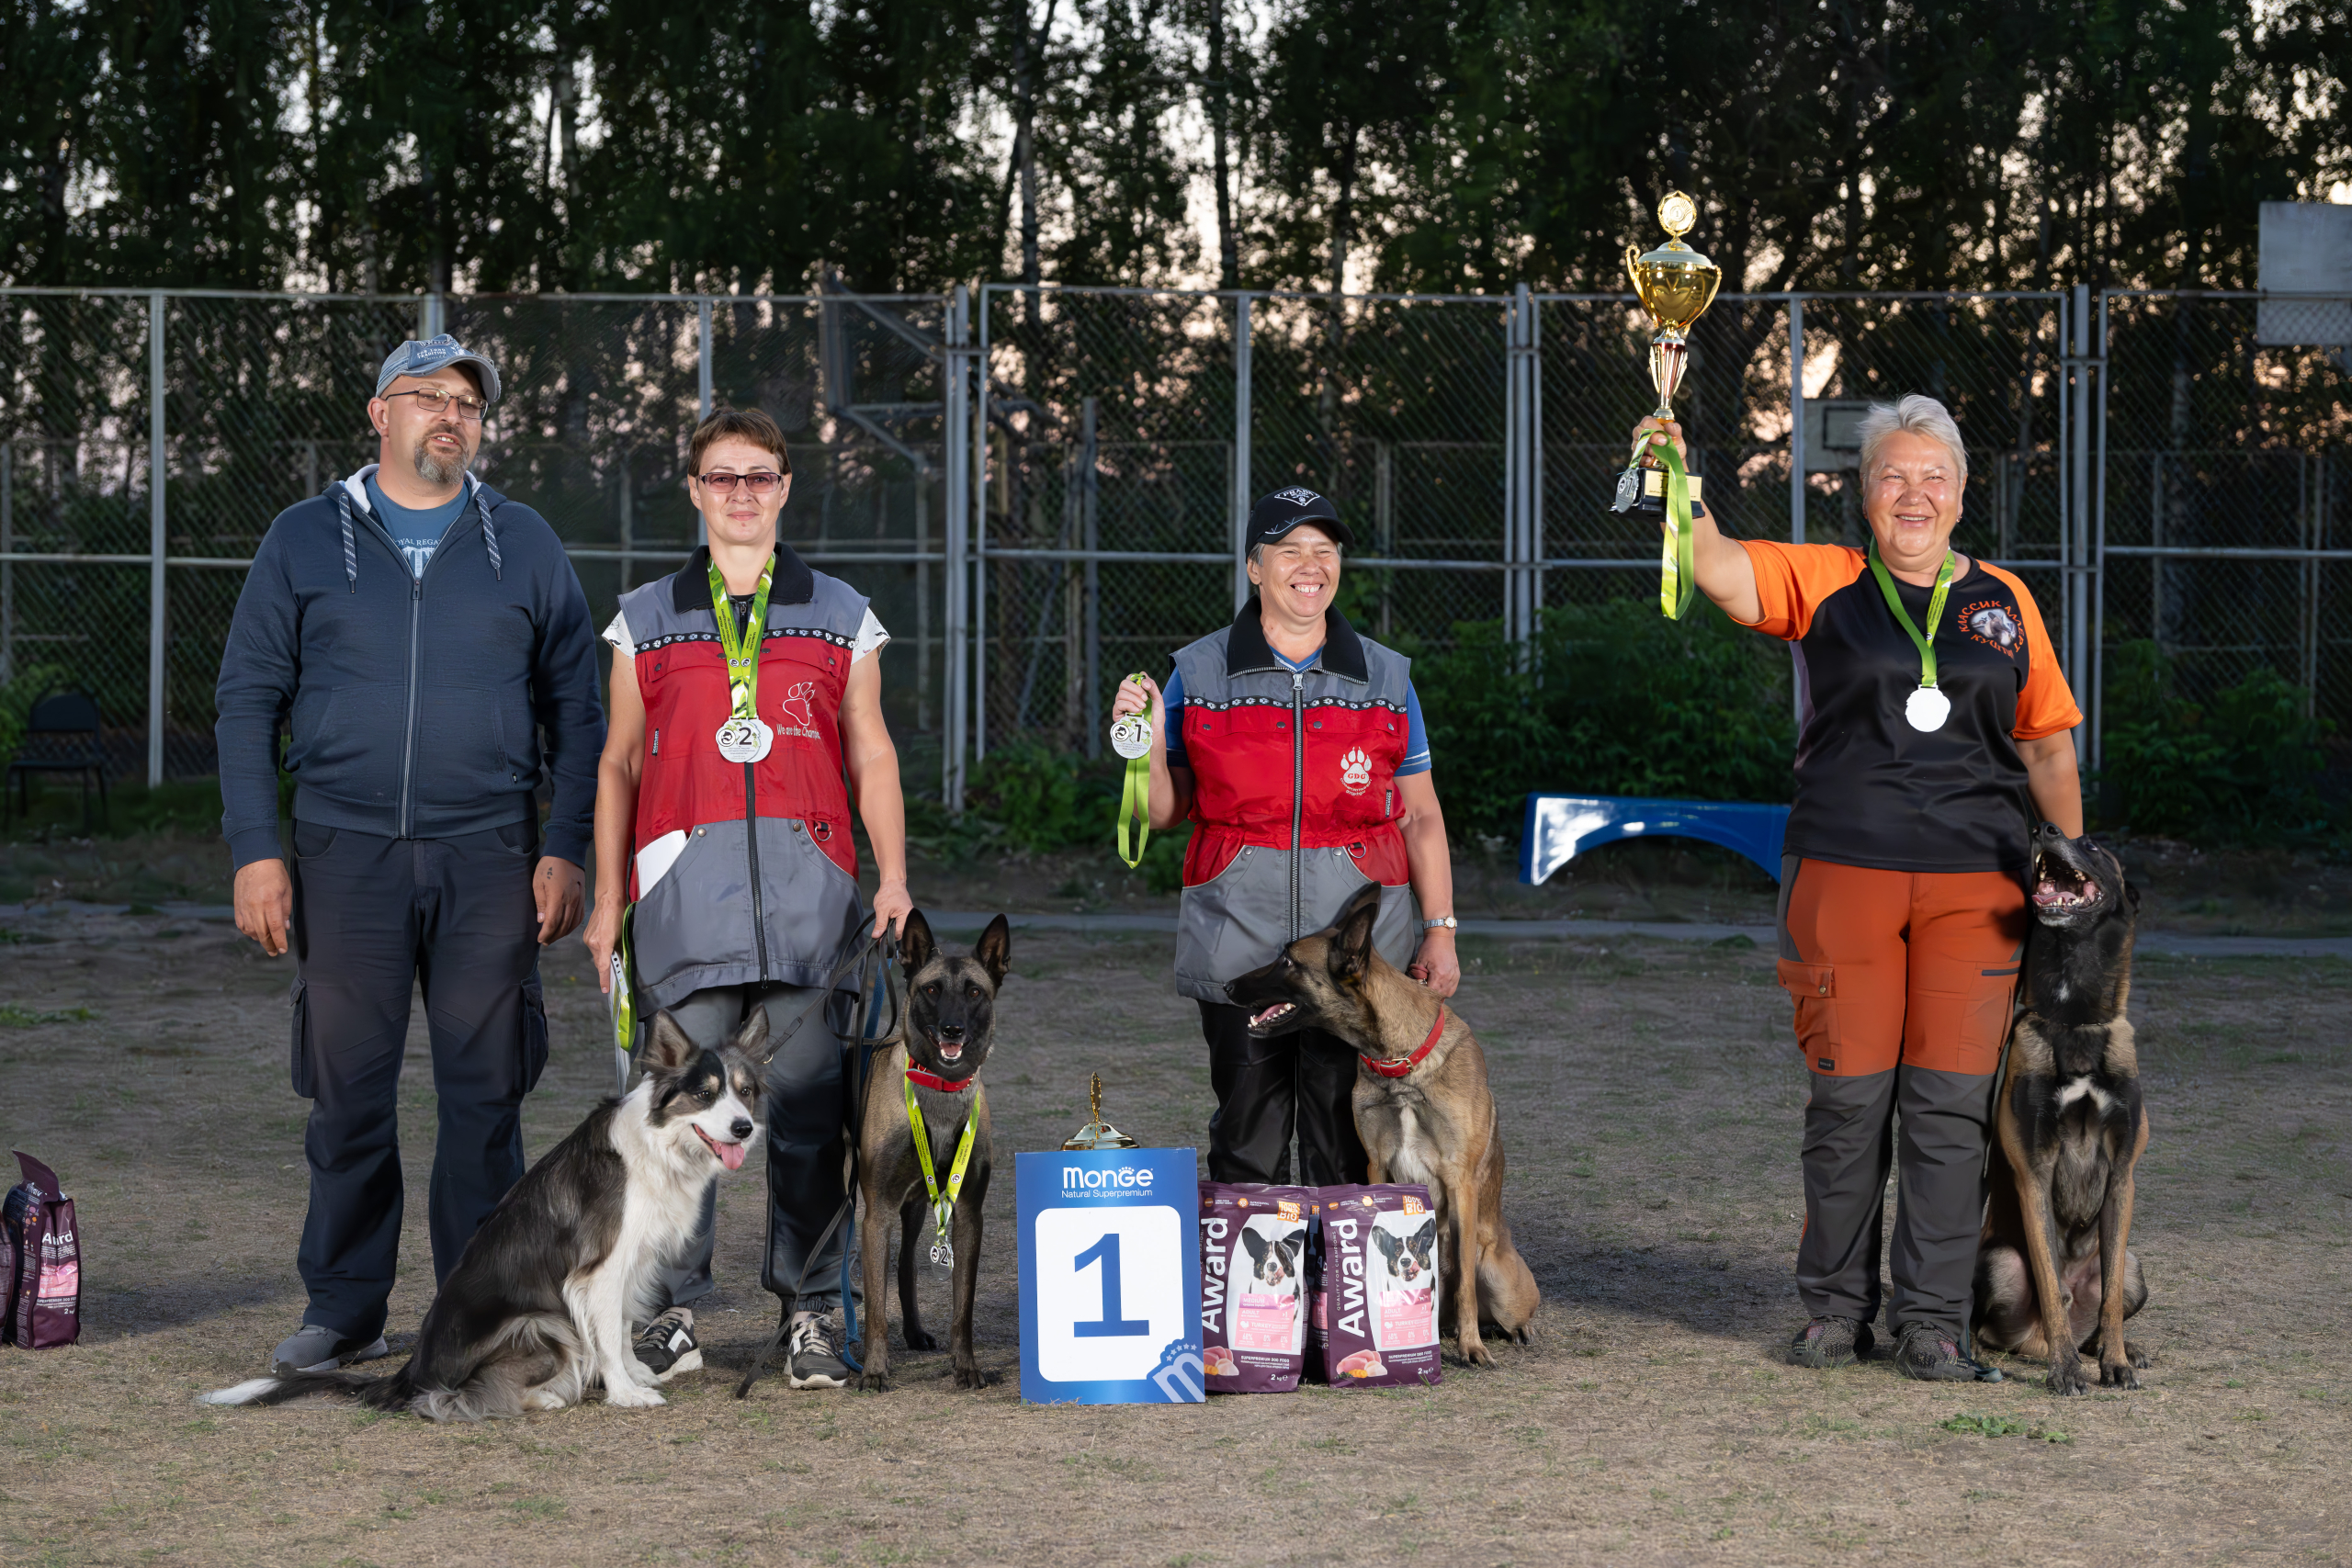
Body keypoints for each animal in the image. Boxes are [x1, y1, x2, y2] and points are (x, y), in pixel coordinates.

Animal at [860, 911, 1015, 1392]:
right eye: (931, 990)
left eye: (974, 992)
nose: (952, 1030)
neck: (940, 1091)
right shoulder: (876, 1214)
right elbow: (874, 1308)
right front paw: (873, 1369)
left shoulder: (967, 1213)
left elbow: (962, 1306)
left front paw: (965, 1366)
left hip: (912, 1208)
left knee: (906, 1265)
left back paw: (912, 1332)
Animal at [1223, 884, 1533, 1363]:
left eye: (1288, 962)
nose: (1226, 986)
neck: (1400, 1064)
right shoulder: (1377, 1165)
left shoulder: (1459, 1179)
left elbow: (1462, 1282)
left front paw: (1470, 1347)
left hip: (1499, 1277)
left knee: (1490, 1299)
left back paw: (1503, 1330)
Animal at [1966, 827, 2154, 1392]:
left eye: (2091, 845)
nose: (2044, 829)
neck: (2074, 1021)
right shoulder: (2035, 1174)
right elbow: (2050, 1285)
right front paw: (2066, 1371)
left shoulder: (2121, 1177)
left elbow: (2109, 1300)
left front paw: (2115, 1362)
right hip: (2000, 1262)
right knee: (1996, 1323)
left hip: (2137, 1267)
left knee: (2105, 1302)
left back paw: (2118, 1349)